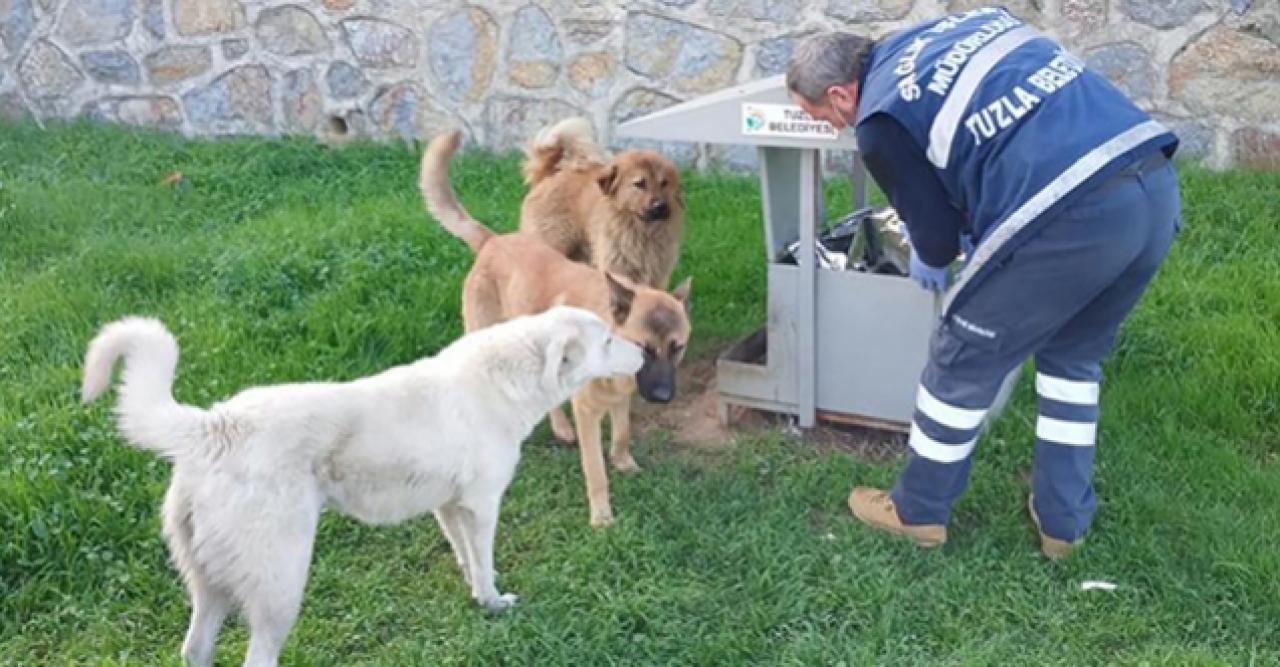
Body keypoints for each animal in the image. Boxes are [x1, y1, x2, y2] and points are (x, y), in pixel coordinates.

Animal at [77, 305, 640, 665]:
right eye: (609, 340)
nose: (642, 354)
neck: (506, 379)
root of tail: (215, 425)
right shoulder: (482, 507)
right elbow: (484, 564)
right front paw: (494, 603)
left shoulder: (449, 506)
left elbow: (464, 558)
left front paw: (476, 595)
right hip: (280, 584)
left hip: (209, 583)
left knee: (195, 650)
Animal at [517, 115, 686, 291]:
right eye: (640, 184)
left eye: (664, 183)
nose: (661, 206)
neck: (642, 232)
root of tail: (549, 175)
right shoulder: (616, 268)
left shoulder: (657, 277)